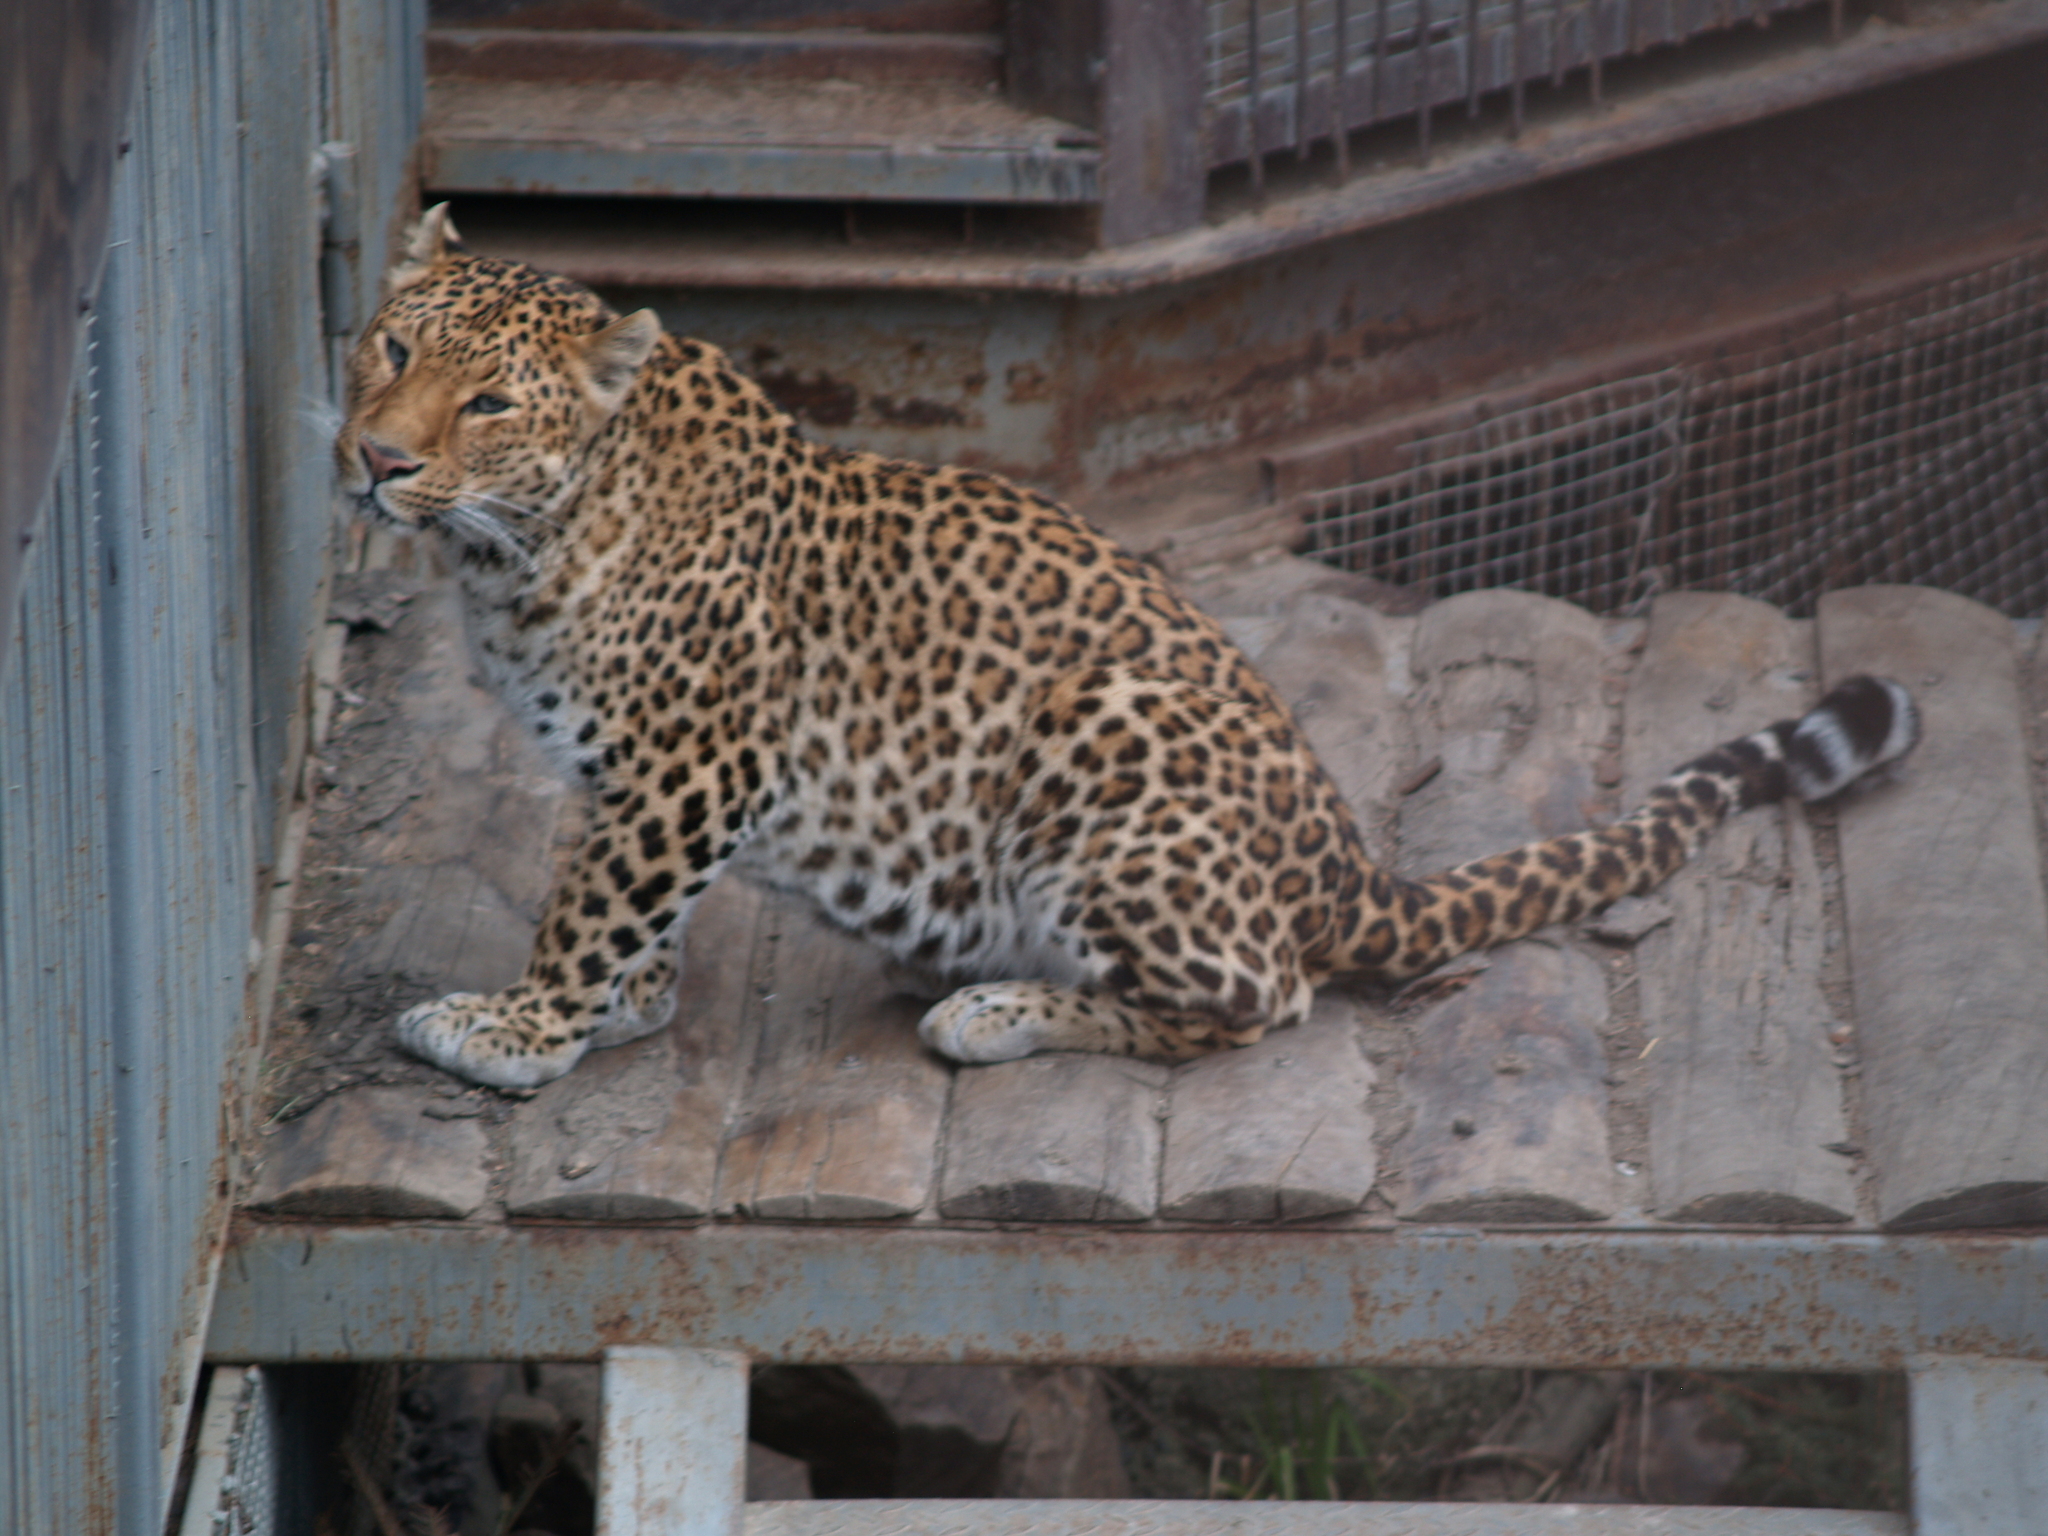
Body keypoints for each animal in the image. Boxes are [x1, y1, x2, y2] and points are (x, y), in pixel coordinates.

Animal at [335, 207, 1916, 1097]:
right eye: (391, 350)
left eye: (488, 403)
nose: (371, 463)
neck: (517, 543)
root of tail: (1346, 871)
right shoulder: (647, 778)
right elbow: (632, 906)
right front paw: (622, 1009)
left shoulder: (691, 762)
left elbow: (593, 903)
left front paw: (521, 1031)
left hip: (1103, 743)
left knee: (1257, 1000)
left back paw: (995, 1008)